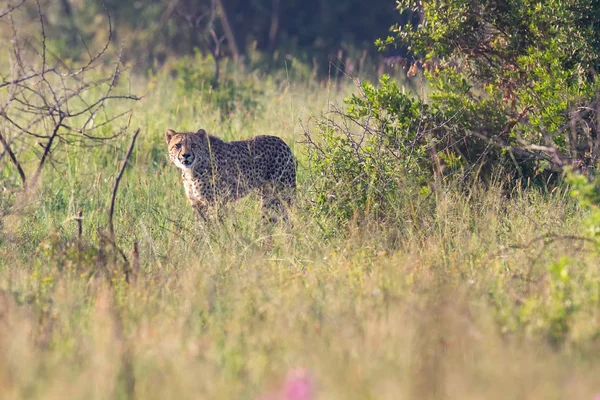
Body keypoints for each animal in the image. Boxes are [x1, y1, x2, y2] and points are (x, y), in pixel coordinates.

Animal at [165, 128, 296, 222]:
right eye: (178, 145)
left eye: (194, 145)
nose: (186, 155)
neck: (191, 171)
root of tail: (281, 141)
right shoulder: (197, 204)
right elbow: (202, 227)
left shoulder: (216, 203)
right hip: (268, 196)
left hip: (282, 193)